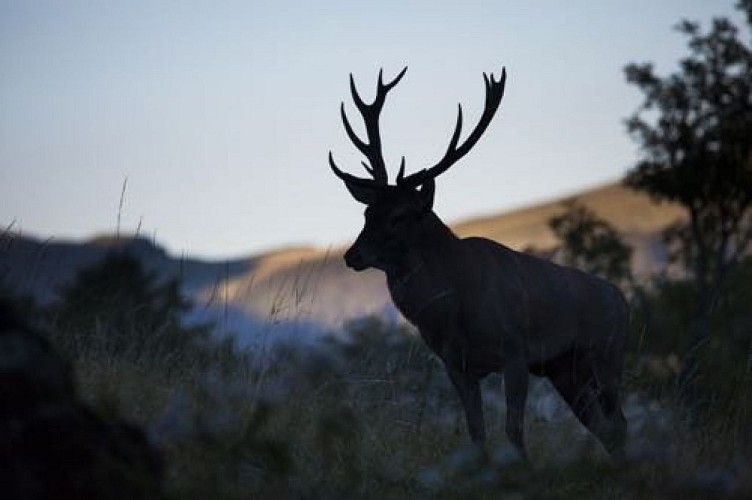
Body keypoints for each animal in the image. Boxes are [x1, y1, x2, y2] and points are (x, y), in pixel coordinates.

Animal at [328, 67, 628, 459]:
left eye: (399, 216)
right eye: (367, 212)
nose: (353, 255)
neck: (455, 311)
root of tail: (623, 301)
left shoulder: (515, 352)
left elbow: (513, 431)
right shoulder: (456, 365)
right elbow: (476, 432)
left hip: (607, 355)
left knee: (619, 424)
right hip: (565, 369)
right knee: (605, 429)